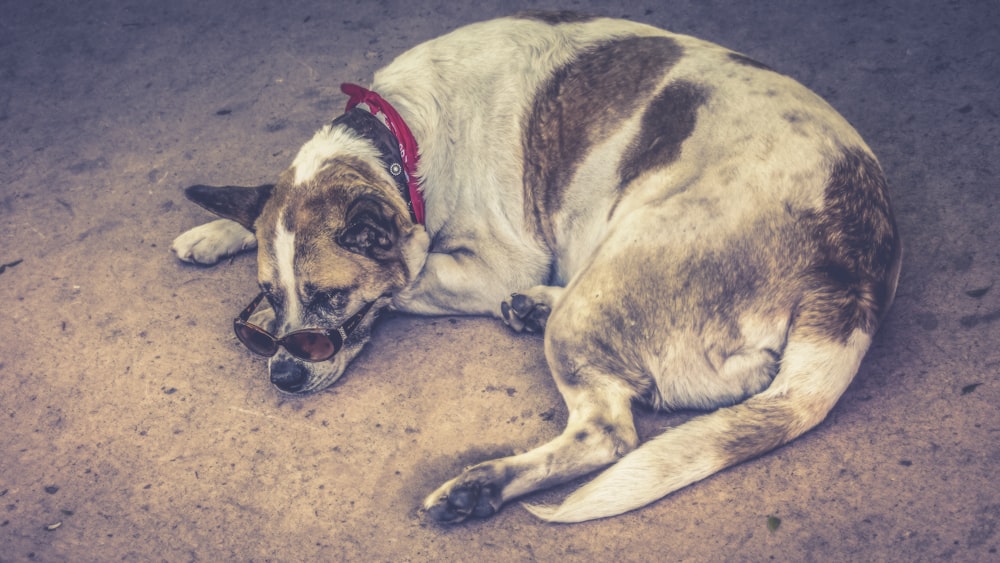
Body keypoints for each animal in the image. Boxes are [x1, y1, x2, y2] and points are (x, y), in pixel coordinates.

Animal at [170, 12, 900, 524]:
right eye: (269, 293)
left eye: (332, 297)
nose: (283, 375)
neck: (401, 143)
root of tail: (859, 255)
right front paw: (214, 234)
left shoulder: (488, 262)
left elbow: (408, 278)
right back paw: (530, 308)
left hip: (603, 292)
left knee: (609, 430)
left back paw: (479, 486)